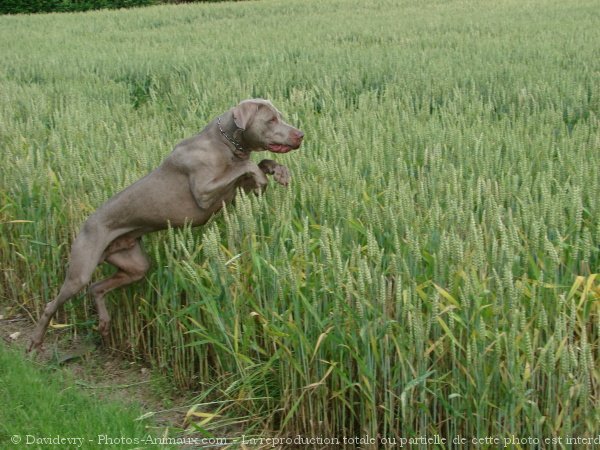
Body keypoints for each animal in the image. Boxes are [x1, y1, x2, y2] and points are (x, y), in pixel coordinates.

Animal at [27, 98, 304, 352]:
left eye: (279, 116)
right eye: (271, 120)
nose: (301, 134)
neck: (226, 143)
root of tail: (85, 223)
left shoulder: (236, 195)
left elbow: (260, 164)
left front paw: (279, 172)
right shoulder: (204, 192)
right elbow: (246, 166)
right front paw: (262, 174)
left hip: (135, 265)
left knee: (96, 288)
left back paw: (104, 324)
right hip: (81, 270)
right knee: (54, 303)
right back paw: (35, 341)